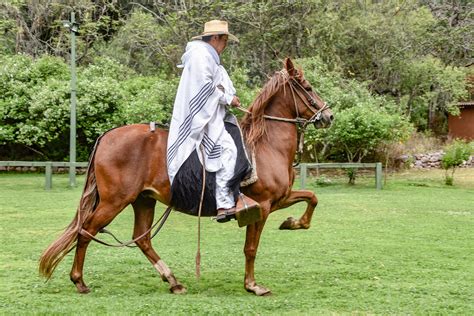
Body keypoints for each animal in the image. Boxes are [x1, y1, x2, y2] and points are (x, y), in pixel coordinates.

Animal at [39, 58, 334, 296]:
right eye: (307, 88)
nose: (328, 115)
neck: (266, 145)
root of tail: (107, 135)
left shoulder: (278, 200)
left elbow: (312, 197)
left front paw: (293, 223)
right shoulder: (260, 206)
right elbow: (251, 249)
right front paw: (252, 285)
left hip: (143, 200)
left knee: (142, 239)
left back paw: (173, 281)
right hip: (115, 201)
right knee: (86, 231)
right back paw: (79, 281)